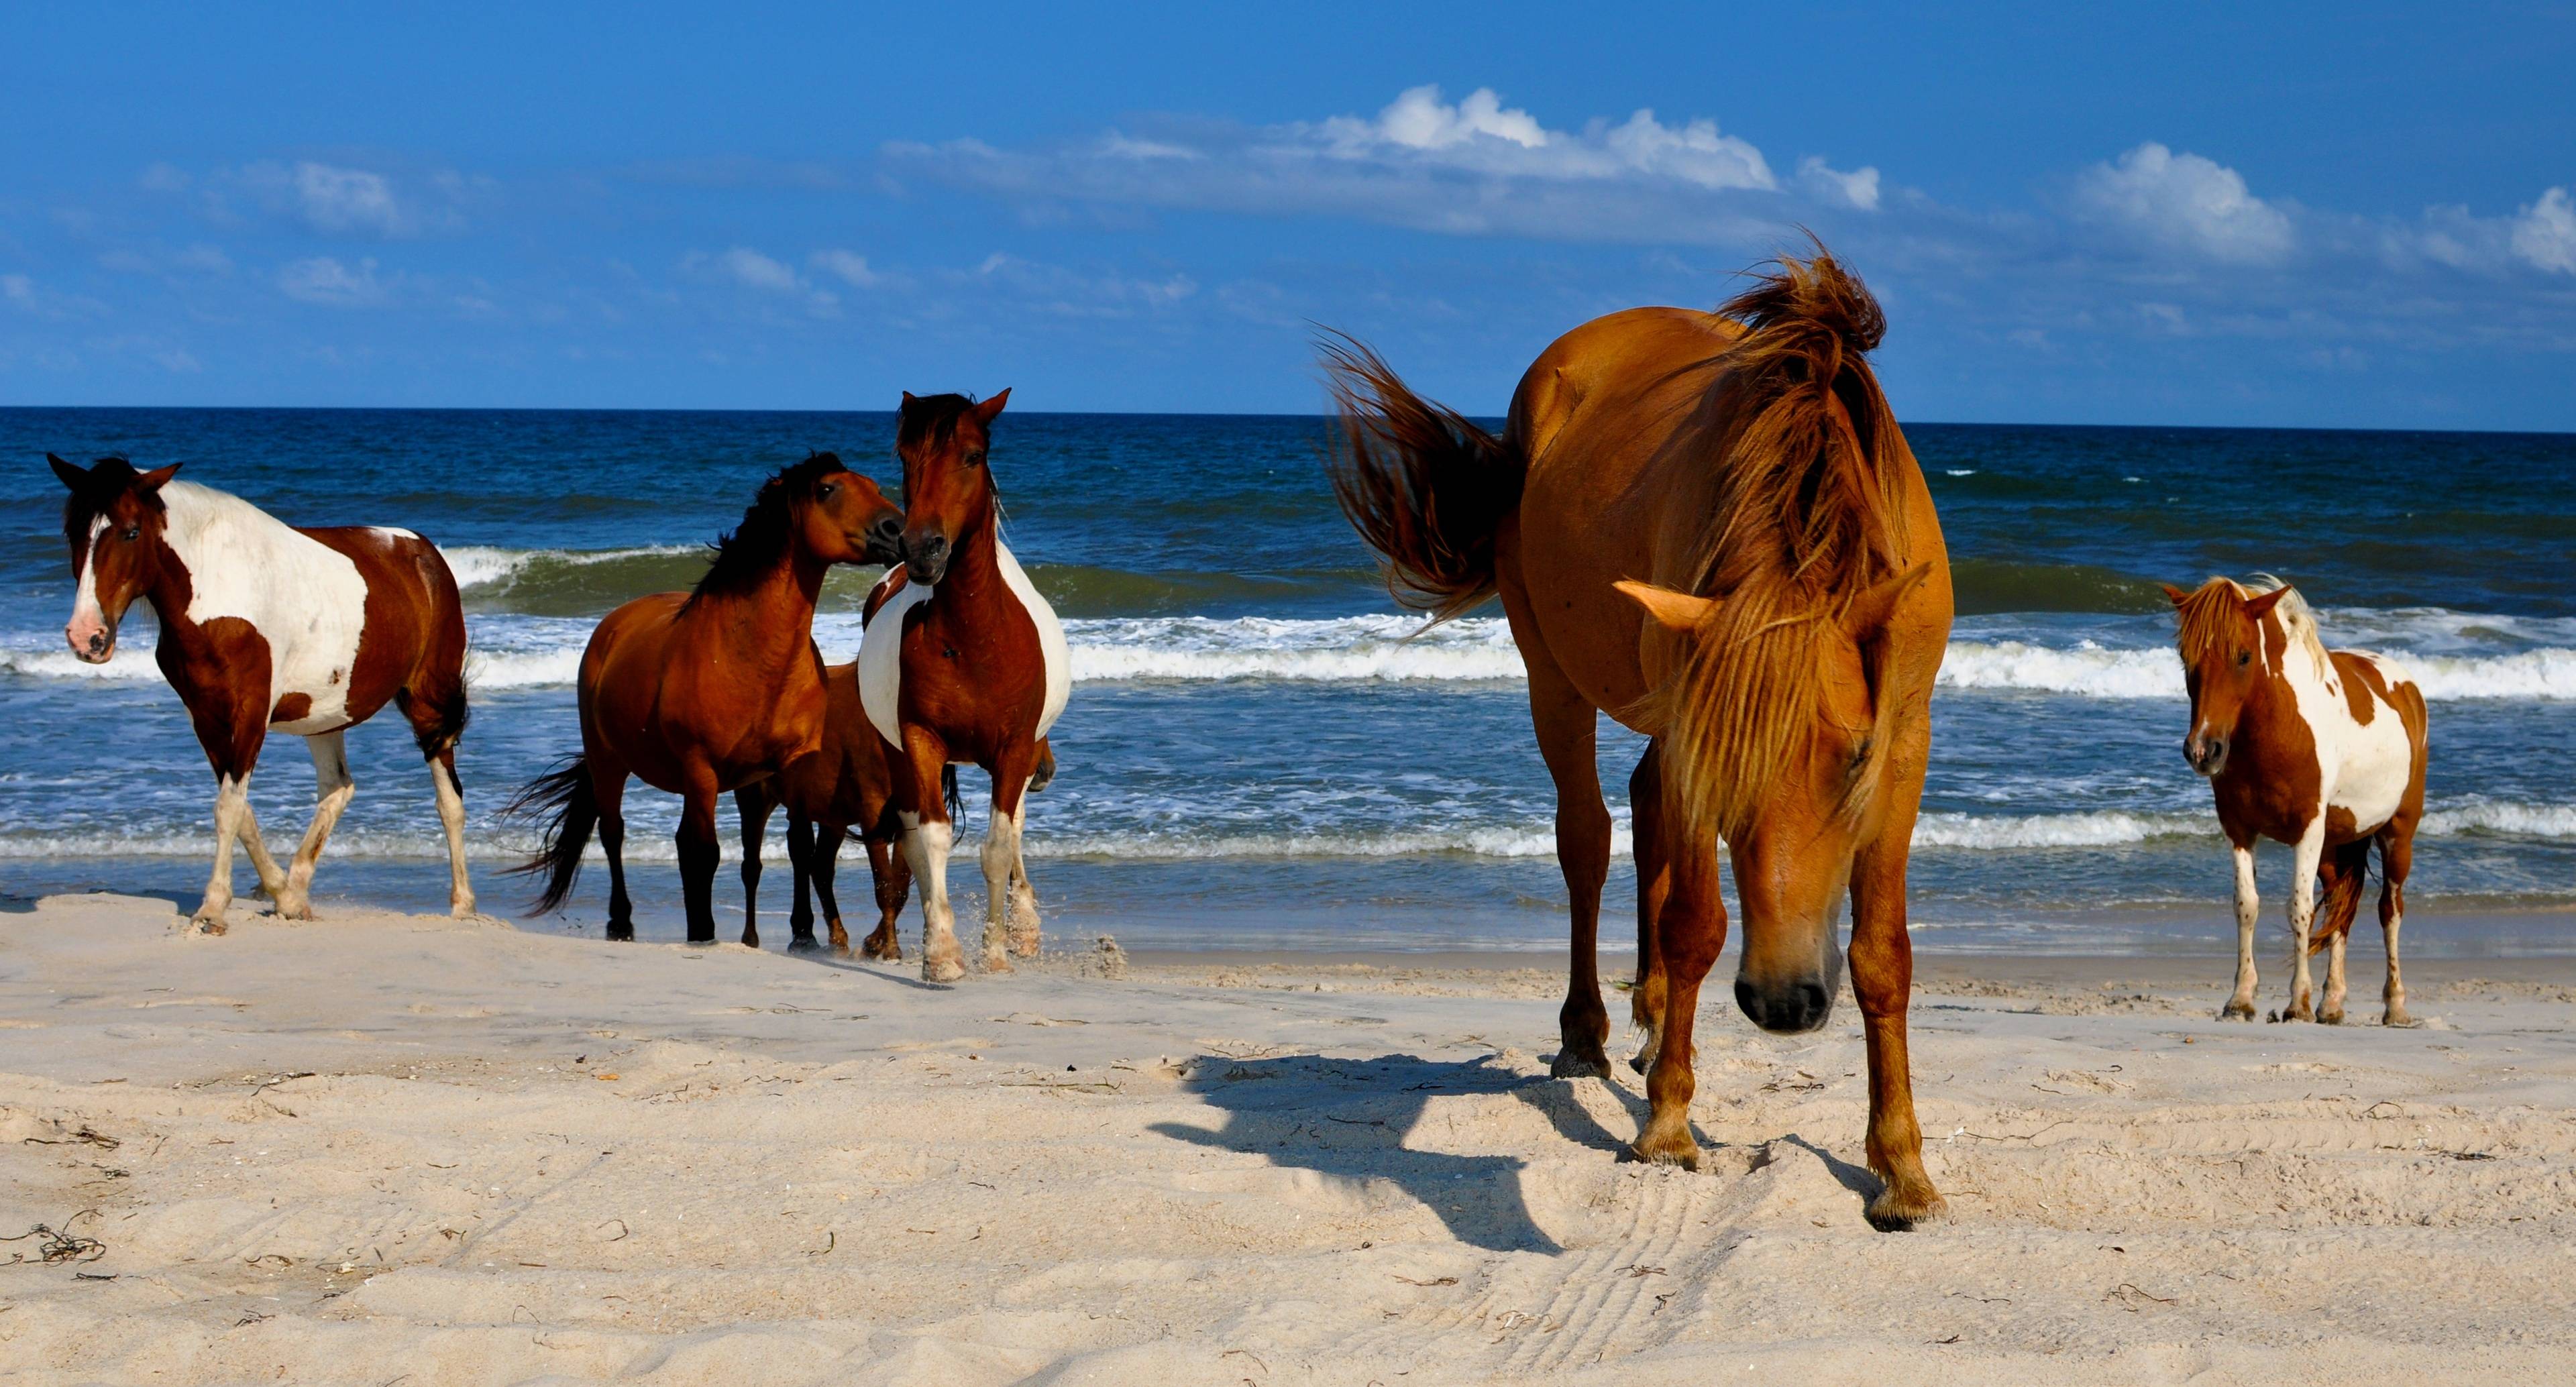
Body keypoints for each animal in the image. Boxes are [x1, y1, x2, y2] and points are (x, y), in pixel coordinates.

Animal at [44, 455, 479, 931]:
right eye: (74, 533)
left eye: (132, 531)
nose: (87, 637)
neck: (217, 593)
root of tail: (425, 552)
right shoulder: (207, 719)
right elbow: (241, 810)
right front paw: (282, 896)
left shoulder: (251, 713)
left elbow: (229, 809)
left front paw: (213, 909)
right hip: (322, 713)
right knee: (338, 788)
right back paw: (299, 890)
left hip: (429, 702)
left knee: (449, 800)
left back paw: (463, 905)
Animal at [860, 386, 1071, 983]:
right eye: (906, 458)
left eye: (973, 457)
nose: (922, 548)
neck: (976, 639)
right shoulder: (920, 740)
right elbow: (928, 841)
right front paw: (942, 955)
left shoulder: (1016, 747)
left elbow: (998, 845)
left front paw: (997, 950)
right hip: (897, 755)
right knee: (912, 836)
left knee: (1016, 827)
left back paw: (1024, 929)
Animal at [1329, 247, 1947, 1225]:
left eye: (1854, 757)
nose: (1783, 1001)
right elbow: (1694, 922)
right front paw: (1666, 1128)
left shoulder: (1907, 737)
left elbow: (1882, 955)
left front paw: (1902, 1171)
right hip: (1553, 675)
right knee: (1587, 839)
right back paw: (1589, 1035)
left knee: (1647, 805)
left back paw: (1657, 1021)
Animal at [2163, 579, 2421, 1029]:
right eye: (2186, 658)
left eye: (2244, 656)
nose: (2202, 751)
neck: (2278, 728)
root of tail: (2407, 686)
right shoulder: (2238, 829)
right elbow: (2247, 905)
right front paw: (2241, 999)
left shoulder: (2308, 829)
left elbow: (2299, 909)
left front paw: (2297, 1002)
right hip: (2336, 846)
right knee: (2340, 908)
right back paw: (2332, 1004)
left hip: (2397, 834)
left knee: (2390, 910)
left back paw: (2395, 1005)